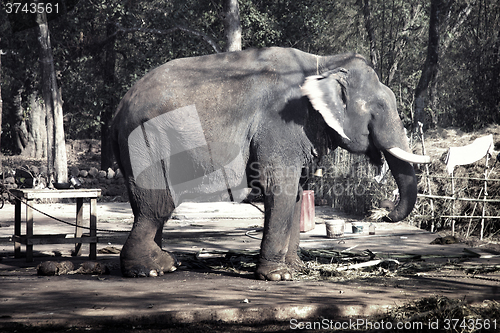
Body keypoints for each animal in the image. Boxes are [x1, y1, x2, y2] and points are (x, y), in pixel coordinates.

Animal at [111, 46, 432, 280]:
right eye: (377, 109)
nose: (385, 212)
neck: (323, 64)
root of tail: (119, 107)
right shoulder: (279, 124)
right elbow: (280, 188)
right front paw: (279, 277)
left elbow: (297, 194)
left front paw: (296, 268)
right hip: (145, 141)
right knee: (156, 206)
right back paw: (150, 269)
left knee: (155, 210)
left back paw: (166, 262)